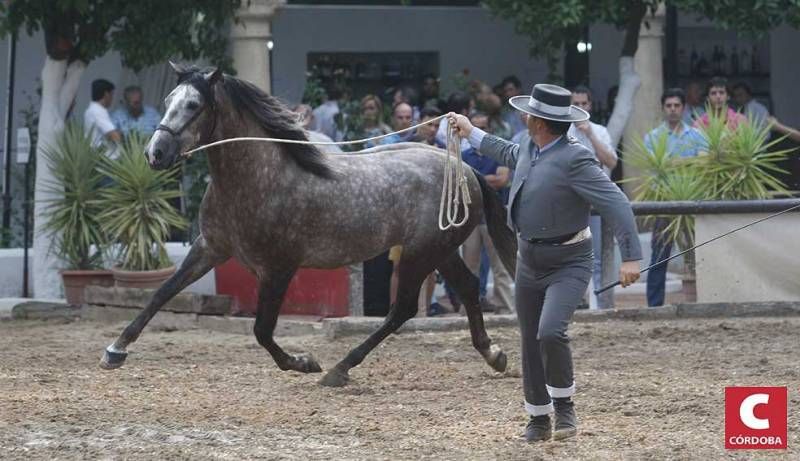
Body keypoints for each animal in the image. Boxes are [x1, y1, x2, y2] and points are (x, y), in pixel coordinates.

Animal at [100, 64, 516, 386]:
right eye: (168, 100)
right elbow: (162, 293)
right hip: (438, 251)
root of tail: (467, 170)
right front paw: (114, 351)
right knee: (466, 286)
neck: (258, 178)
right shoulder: (210, 247)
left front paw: (303, 362)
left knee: (403, 310)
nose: (155, 153)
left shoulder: (278, 267)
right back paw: (493, 354)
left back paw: (339, 368)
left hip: (420, 254)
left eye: (194, 104)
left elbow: (262, 330)